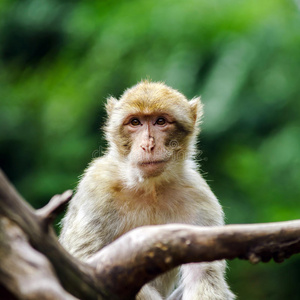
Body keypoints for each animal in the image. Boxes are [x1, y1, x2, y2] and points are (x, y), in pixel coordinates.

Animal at [59, 80, 236, 300]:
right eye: (135, 122)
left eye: (160, 121)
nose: (148, 145)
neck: (149, 188)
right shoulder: (96, 190)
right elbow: (84, 264)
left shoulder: (198, 197)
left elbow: (204, 275)